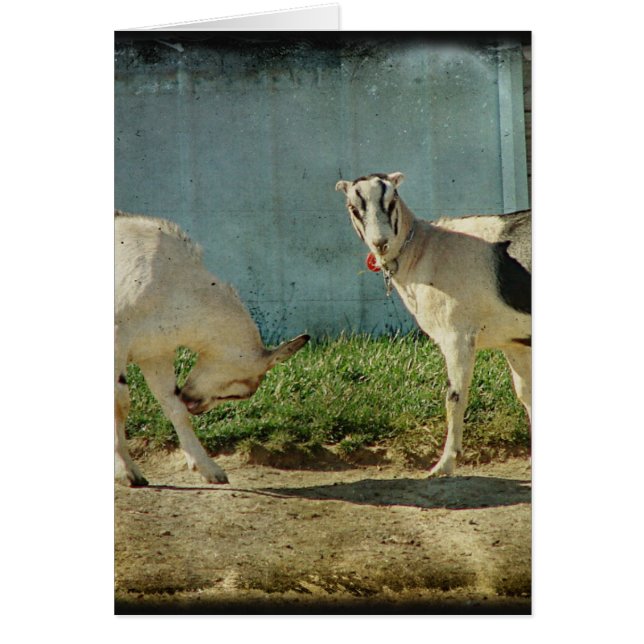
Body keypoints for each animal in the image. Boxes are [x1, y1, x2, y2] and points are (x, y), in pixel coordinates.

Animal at [115, 211, 309, 486]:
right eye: (241, 392)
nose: (197, 405)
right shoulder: (117, 338)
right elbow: (120, 403)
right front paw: (127, 472)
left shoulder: (155, 352)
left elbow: (173, 405)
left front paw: (210, 470)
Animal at [335, 173, 531, 476]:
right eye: (353, 208)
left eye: (392, 200)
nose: (381, 242)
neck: (424, 249)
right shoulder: (513, 339)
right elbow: (526, 395)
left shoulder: (457, 335)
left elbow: (455, 397)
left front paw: (444, 464)